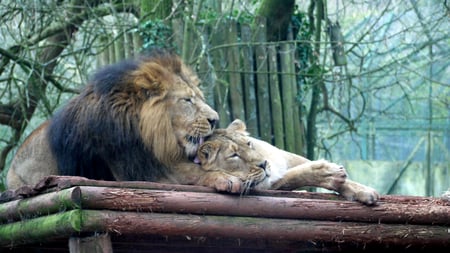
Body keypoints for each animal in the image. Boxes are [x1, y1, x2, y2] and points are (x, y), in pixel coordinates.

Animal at [6, 50, 225, 190]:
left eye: (200, 97)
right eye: (187, 100)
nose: (215, 119)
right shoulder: (135, 172)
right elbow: (192, 172)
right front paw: (225, 177)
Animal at [196, 119, 380, 205]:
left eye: (249, 144)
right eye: (234, 155)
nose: (264, 163)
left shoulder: (287, 156)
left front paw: (361, 190)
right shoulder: (270, 184)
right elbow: (298, 174)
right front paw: (329, 173)